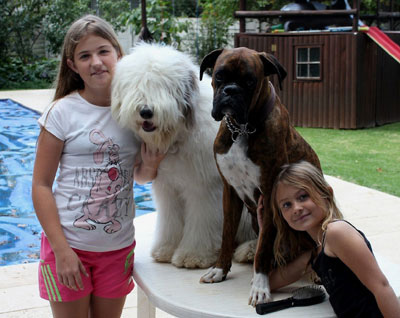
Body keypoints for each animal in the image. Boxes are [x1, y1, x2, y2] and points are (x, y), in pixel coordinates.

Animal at [111, 43, 256, 268]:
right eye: (138, 85)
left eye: (163, 86)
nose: (146, 112)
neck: (178, 135)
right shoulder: (167, 187)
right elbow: (170, 220)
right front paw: (166, 249)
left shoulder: (203, 187)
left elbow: (201, 219)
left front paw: (193, 255)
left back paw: (248, 251)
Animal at [198, 47, 320, 306]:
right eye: (219, 76)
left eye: (249, 81)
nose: (230, 91)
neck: (243, 129)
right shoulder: (230, 192)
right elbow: (227, 234)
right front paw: (220, 270)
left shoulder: (270, 195)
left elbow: (264, 247)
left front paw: (260, 285)